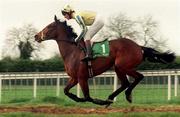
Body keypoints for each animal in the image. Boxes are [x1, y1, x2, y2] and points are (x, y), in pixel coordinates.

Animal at [34, 16, 175, 106]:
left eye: (49, 26)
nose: (36, 36)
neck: (72, 52)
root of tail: (139, 47)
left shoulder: (82, 78)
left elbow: (87, 97)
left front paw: (99, 102)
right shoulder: (74, 78)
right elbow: (66, 91)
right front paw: (77, 98)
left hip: (122, 66)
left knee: (138, 77)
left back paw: (124, 96)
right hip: (118, 68)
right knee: (125, 83)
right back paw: (112, 98)